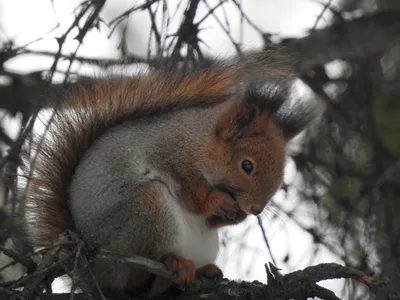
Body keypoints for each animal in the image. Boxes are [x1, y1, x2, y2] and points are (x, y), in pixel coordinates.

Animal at [17, 52, 320, 296]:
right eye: (247, 165)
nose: (255, 210)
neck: (199, 142)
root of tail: (95, 276)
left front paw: (235, 216)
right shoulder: (171, 157)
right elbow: (192, 196)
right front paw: (218, 201)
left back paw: (203, 271)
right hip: (145, 212)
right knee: (136, 280)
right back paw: (172, 263)